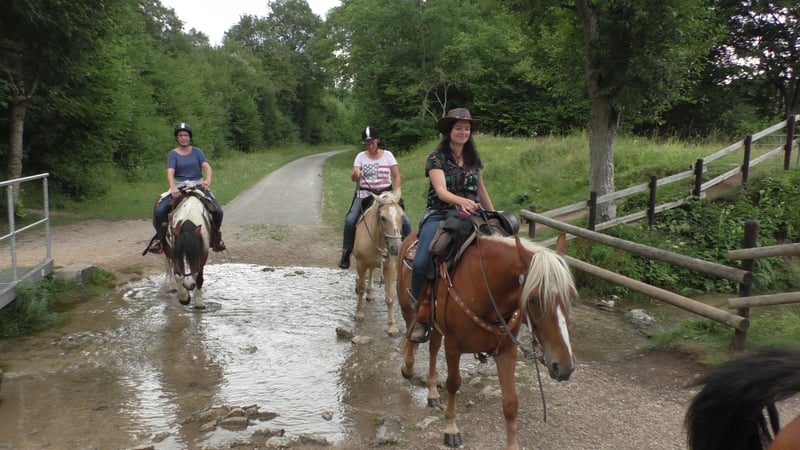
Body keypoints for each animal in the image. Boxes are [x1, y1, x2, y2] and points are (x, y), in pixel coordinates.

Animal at [351, 190, 404, 335]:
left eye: (402, 216)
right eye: (383, 218)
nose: (396, 247)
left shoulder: (389, 267)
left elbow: (390, 297)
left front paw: (392, 326)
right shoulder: (361, 264)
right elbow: (361, 288)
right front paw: (359, 314)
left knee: (371, 272)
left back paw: (370, 293)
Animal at [397, 232, 577, 450]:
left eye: (570, 295)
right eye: (534, 299)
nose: (564, 367)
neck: (485, 290)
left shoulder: (507, 350)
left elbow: (511, 402)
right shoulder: (453, 347)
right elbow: (453, 383)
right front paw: (451, 429)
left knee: (433, 348)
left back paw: (432, 393)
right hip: (408, 309)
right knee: (412, 338)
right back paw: (408, 368)